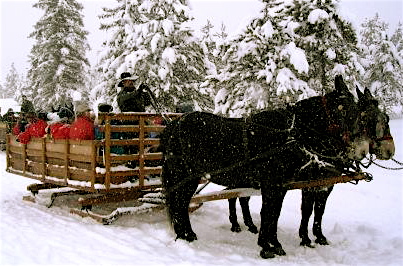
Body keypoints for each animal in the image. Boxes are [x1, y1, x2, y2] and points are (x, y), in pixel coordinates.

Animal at [160, 75, 370, 258]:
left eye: (358, 111)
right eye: (344, 109)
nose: (361, 149)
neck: (288, 134)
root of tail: (174, 123)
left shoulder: (281, 186)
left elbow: (274, 214)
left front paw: (274, 244)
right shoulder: (272, 184)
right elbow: (268, 212)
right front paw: (266, 246)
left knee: (182, 202)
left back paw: (186, 234)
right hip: (183, 175)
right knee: (180, 203)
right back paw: (184, 235)